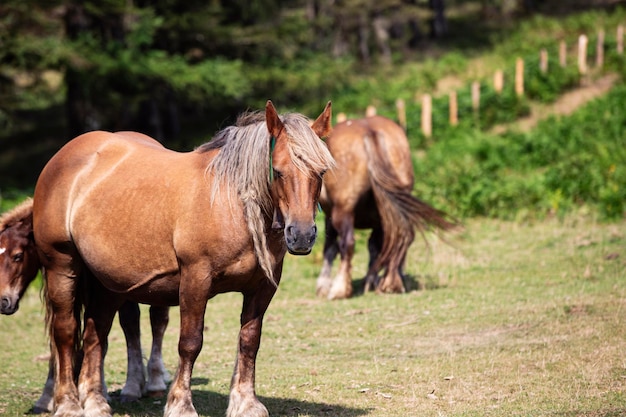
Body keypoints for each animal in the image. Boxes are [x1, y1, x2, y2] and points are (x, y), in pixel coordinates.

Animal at [0, 199, 169, 412]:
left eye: (18, 256)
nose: (3, 301)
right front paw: (48, 397)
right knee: (131, 322)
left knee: (157, 320)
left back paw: (154, 382)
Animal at [31, 101, 334, 416]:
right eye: (278, 171)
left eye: (321, 172)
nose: (302, 235)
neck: (231, 204)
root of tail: (63, 156)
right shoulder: (195, 279)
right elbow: (190, 343)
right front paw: (180, 404)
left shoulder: (261, 288)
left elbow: (249, 341)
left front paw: (246, 403)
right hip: (61, 266)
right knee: (65, 333)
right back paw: (67, 403)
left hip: (108, 282)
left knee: (95, 335)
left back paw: (95, 402)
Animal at [316, 114, 454, 300]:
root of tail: (370, 131)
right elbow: (375, 248)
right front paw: (371, 280)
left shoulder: (330, 216)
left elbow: (330, 248)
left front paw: (323, 285)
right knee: (400, 238)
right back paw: (391, 282)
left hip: (343, 211)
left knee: (347, 243)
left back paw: (340, 289)